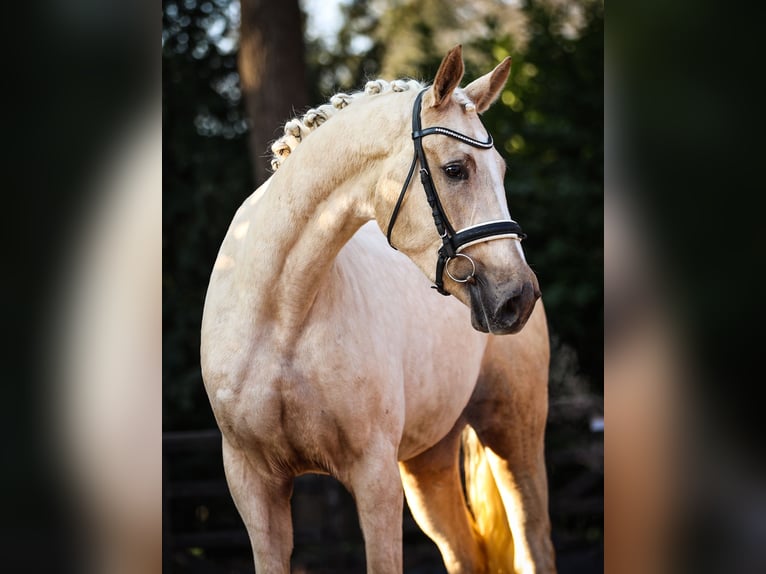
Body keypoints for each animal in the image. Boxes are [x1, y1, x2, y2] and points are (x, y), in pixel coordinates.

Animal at [201, 46, 556, 574]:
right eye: (456, 169)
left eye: (503, 170)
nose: (518, 297)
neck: (280, 317)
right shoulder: (253, 484)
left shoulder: (374, 476)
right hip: (429, 462)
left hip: (514, 433)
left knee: (534, 544)